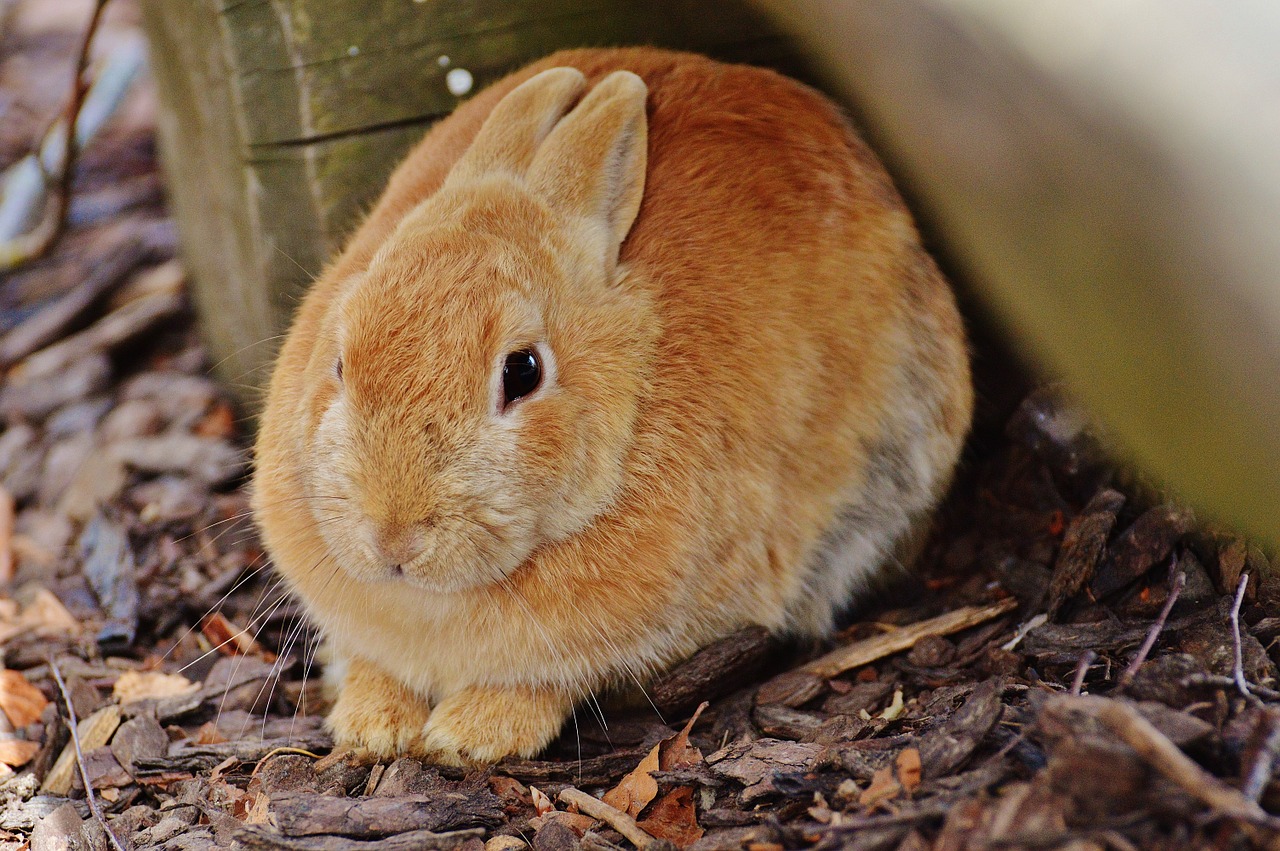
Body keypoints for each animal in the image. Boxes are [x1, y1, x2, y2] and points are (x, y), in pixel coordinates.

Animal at [249, 47, 967, 762]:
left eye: (522, 371)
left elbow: (549, 684)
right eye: (340, 362)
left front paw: (469, 737)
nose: (393, 536)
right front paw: (372, 726)